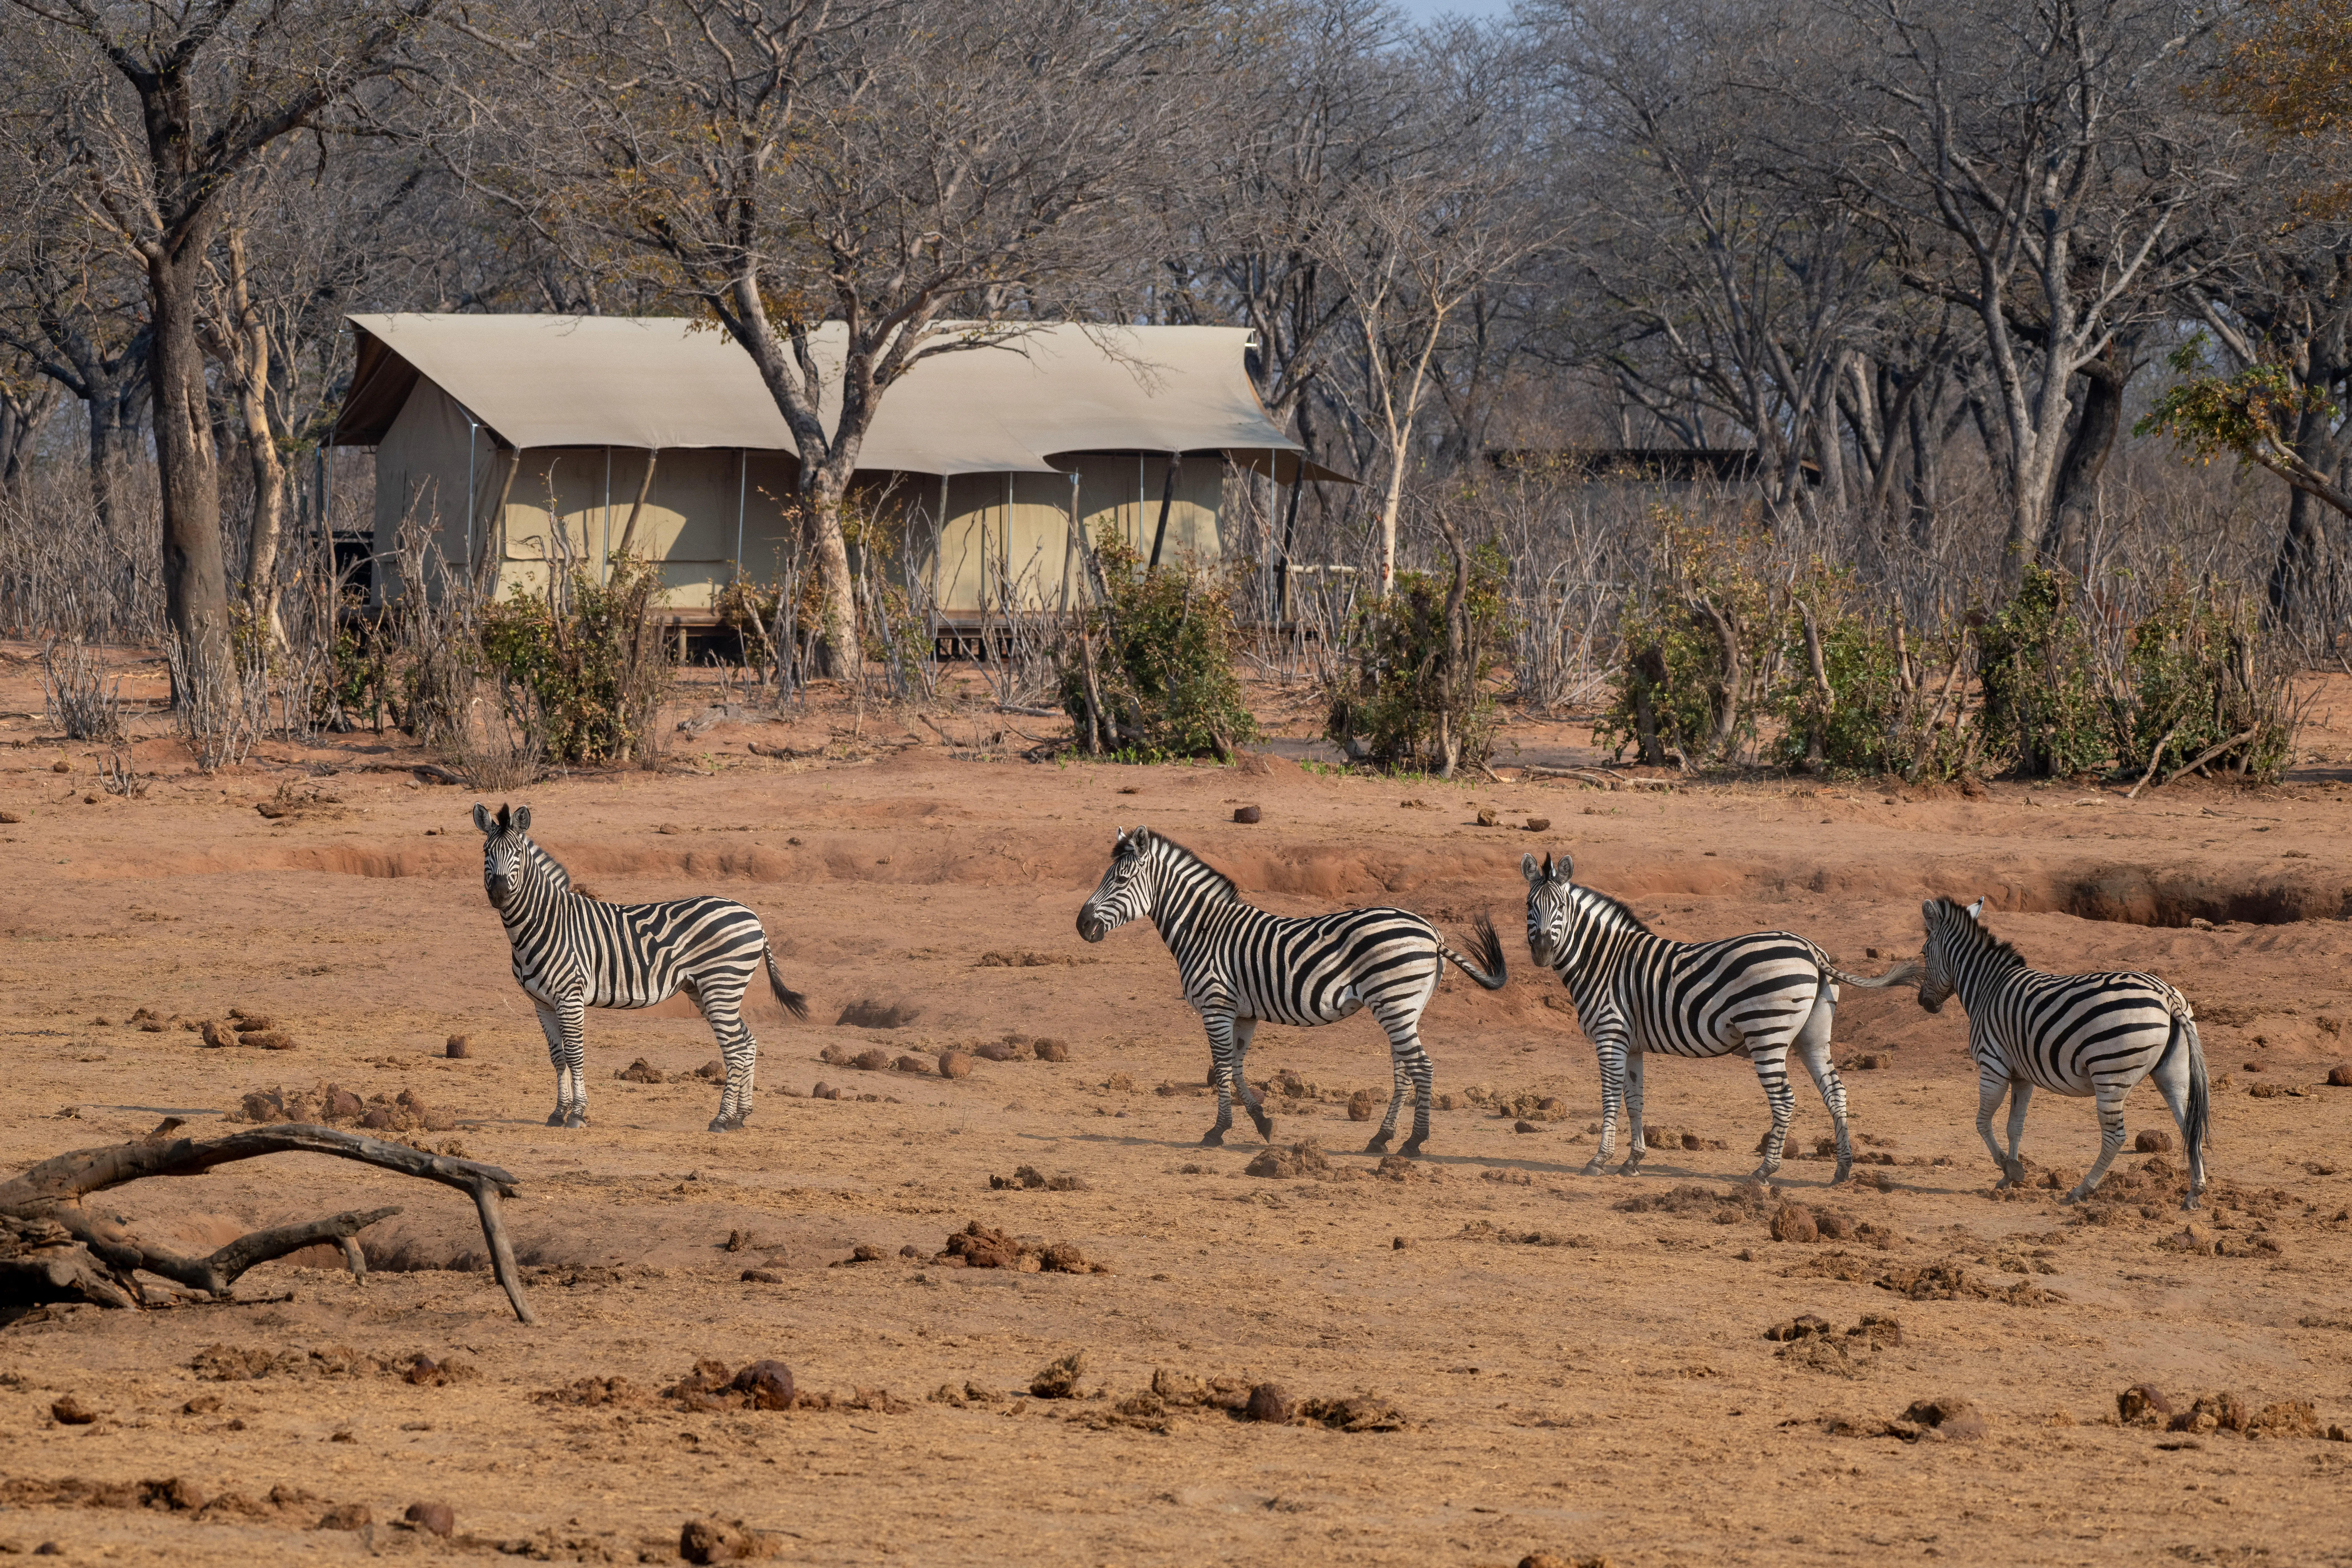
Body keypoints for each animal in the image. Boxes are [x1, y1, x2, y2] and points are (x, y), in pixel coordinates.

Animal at [472, 803, 808, 1131]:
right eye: (486, 851)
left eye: (517, 853)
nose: (499, 894)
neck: (544, 922)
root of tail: (754, 917)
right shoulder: (542, 1003)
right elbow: (558, 1057)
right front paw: (558, 1113)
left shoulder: (570, 997)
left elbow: (575, 1054)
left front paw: (578, 1114)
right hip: (704, 988)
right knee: (747, 1042)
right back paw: (740, 1117)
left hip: (722, 985)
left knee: (736, 1049)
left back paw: (722, 1120)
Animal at [1075, 826, 1507, 1156]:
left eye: (1121, 881)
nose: (1082, 926)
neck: (1203, 930)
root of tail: (1432, 932)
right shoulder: (1243, 1013)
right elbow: (1236, 1066)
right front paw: (1263, 1123)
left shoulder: (1216, 1006)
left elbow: (1222, 1067)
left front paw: (1217, 1131)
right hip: (1404, 1007)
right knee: (1404, 1069)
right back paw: (1381, 1138)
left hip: (1395, 1003)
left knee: (1422, 1066)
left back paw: (1414, 1142)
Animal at [1521, 852, 1915, 1182]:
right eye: (1529, 905)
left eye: (1561, 906)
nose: (1541, 951)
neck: (1603, 960)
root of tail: (1811, 949)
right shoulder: (1631, 1044)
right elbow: (1635, 1100)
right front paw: (1633, 1161)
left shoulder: (1610, 1034)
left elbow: (1609, 1097)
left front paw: (1599, 1160)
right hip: (1813, 1036)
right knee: (1835, 1091)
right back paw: (1842, 1169)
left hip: (1767, 1033)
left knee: (1785, 1099)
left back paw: (1764, 1171)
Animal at [1917, 896, 2208, 1209]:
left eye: (1923, 953)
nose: (1923, 1003)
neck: (1987, 987)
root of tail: (2166, 994)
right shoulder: (2022, 1075)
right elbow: (2014, 1125)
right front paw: (2011, 1175)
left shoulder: (1993, 1064)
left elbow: (1983, 1122)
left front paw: (2009, 1169)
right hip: (2172, 1072)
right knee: (2189, 1126)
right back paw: (2194, 1192)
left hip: (2110, 1074)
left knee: (2115, 1137)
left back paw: (2082, 1189)